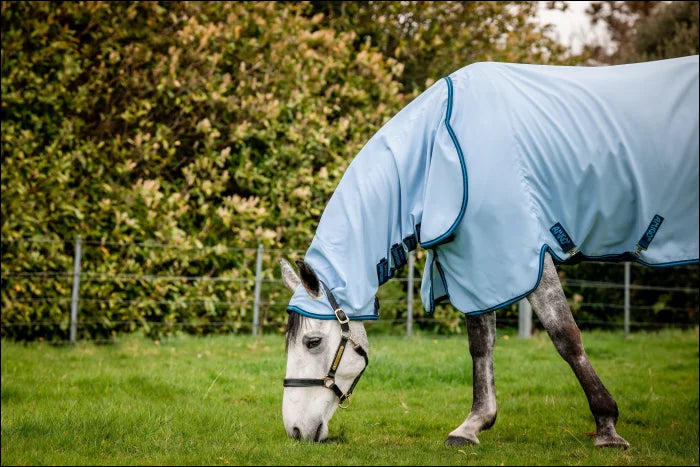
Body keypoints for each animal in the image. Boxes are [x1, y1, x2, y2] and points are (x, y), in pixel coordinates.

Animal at [278, 56, 699, 448]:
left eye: (312, 342)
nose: (295, 430)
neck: (442, 144)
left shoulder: (524, 254)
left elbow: (565, 336)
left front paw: (607, 426)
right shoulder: (478, 262)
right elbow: (481, 345)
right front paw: (473, 425)